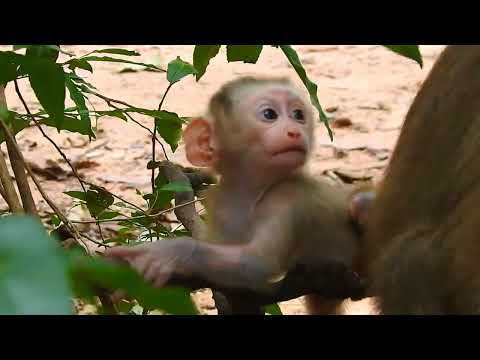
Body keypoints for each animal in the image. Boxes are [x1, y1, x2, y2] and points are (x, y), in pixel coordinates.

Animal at [106, 76, 368, 316]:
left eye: (298, 114)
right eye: (269, 114)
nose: (295, 131)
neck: (249, 190)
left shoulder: (287, 195)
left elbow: (255, 264)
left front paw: (172, 253)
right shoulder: (221, 204)